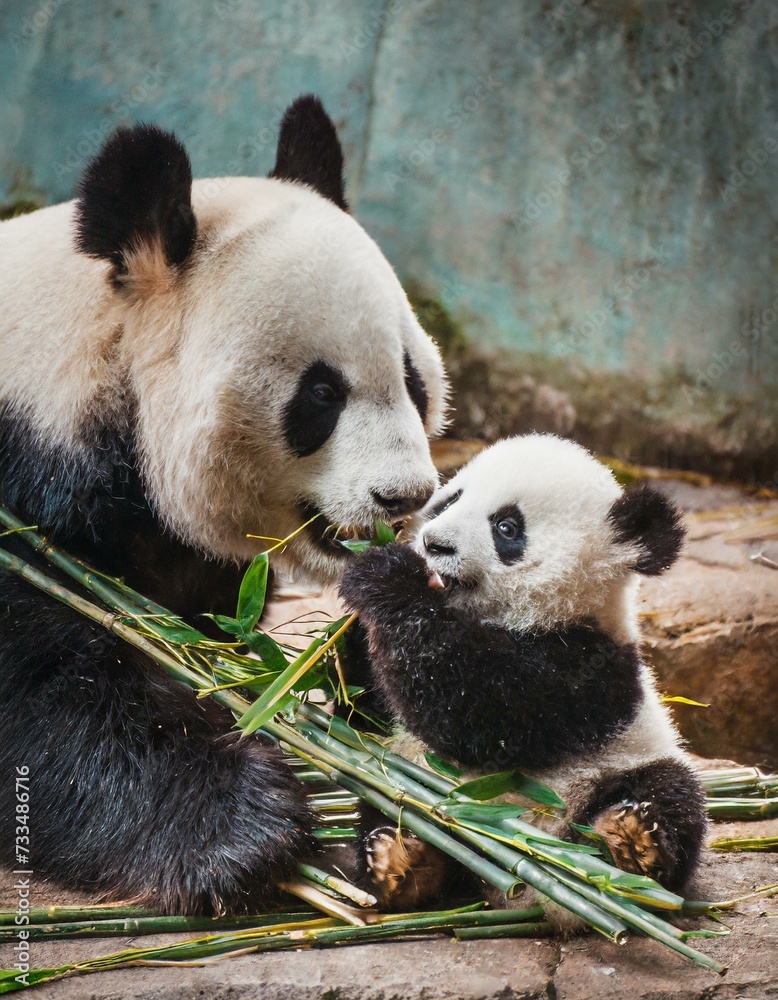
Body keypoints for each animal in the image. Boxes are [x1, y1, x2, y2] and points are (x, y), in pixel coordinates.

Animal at [338, 434, 707, 910]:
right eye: (448, 502)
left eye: (507, 528)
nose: (434, 544)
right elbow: (362, 709)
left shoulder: (592, 666)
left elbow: (482, 711)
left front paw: (387, 578)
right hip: (401, 775)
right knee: (386, 802)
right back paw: (402, 862)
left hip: (622, 765)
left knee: (672, 792)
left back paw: (632, 842)